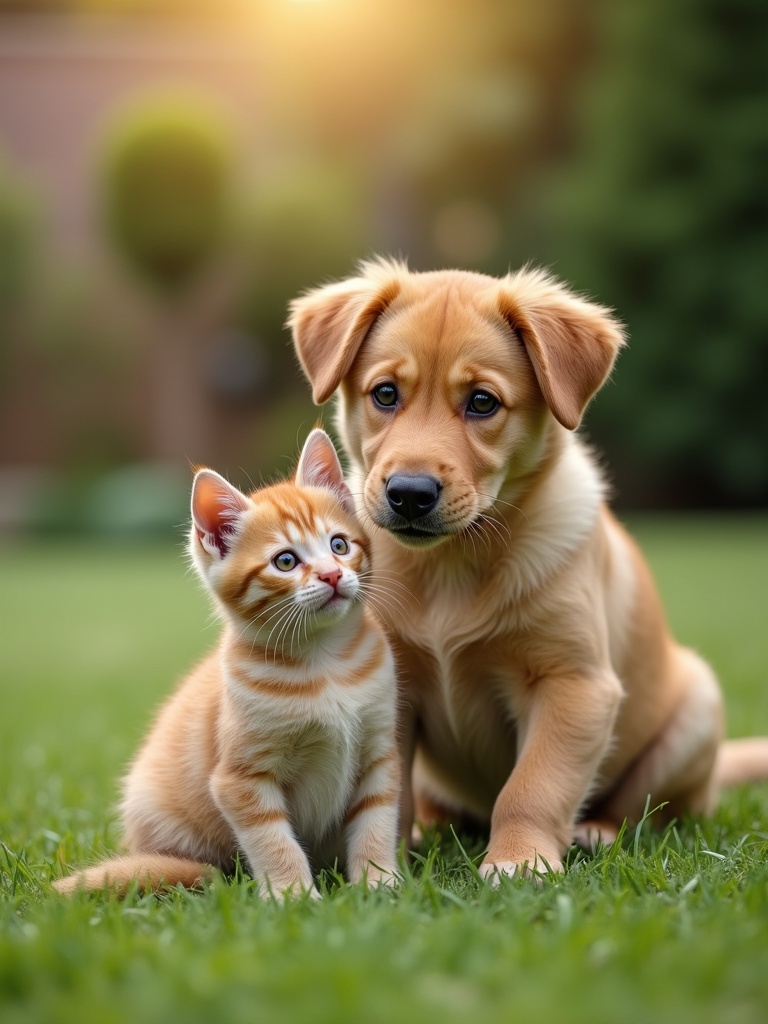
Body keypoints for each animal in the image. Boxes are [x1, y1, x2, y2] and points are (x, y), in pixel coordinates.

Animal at [54, 430, 403, 897]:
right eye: (285, 561)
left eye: (339, 545)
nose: (331, 575)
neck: (325, 662)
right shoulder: (240, 779)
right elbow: (274, 840)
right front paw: (294, 896)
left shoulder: (379, 753)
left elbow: (376, 821)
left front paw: (379, 884)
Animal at [288, 256, 768, 880]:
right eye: (385, 394)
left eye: (482, 402)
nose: (410, 494)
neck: (452, 565)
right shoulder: (391, 684)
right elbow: (388, 791)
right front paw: (385, 860)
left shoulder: (573, 683)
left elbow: (533, 786)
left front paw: (518, 863)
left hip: (695, 714)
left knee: (648, 809)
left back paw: (596, 831)